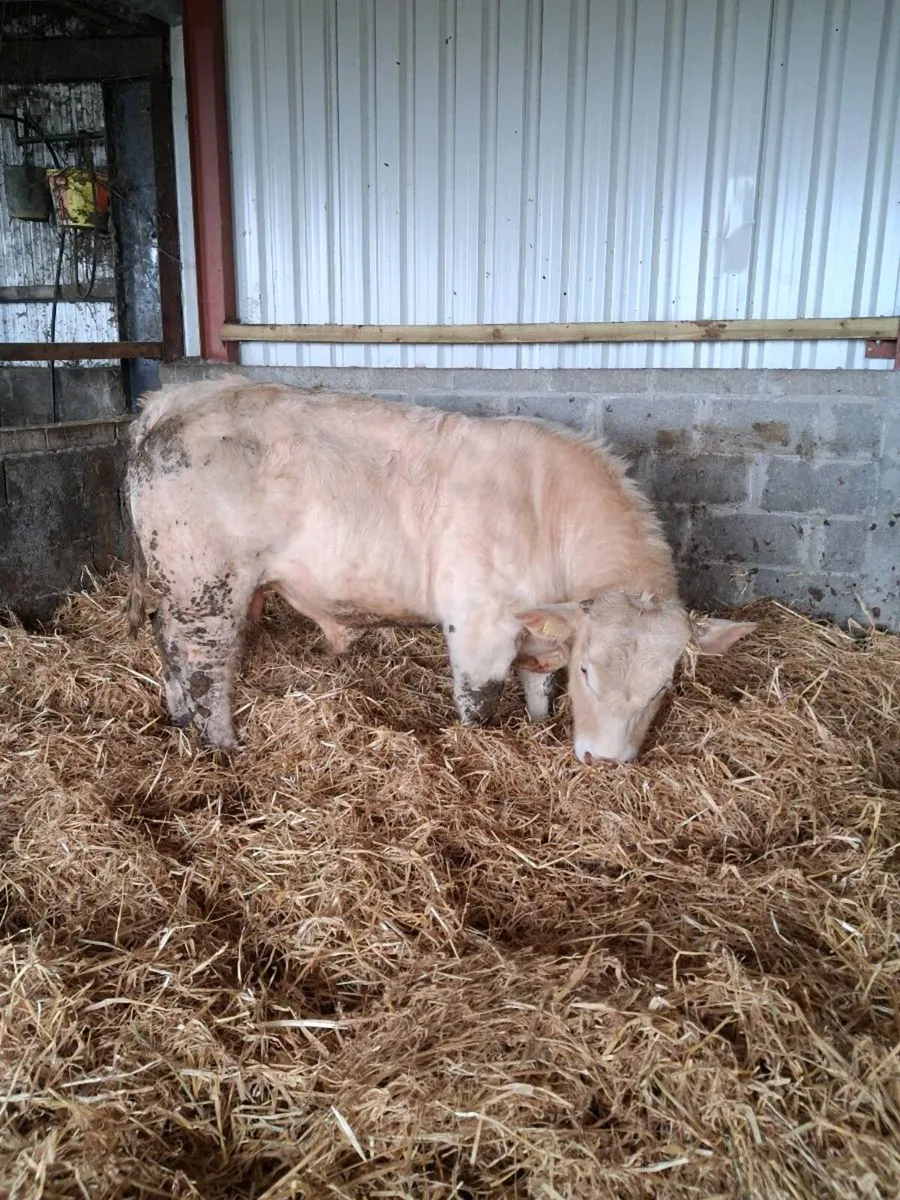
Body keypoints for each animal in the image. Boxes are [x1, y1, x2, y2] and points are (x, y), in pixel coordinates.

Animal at [125, 377, 754, 764]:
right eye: (589, 673)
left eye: (663, 687)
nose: (605, 760)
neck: (545, 510)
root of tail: (176, 397)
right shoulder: (480, 626)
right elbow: (480, 702)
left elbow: (538, 688)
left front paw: (537, 724)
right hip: (205, 584)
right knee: (202, 665)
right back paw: (223, 746)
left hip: (178, 585)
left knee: (166, 641)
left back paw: (180, 721)